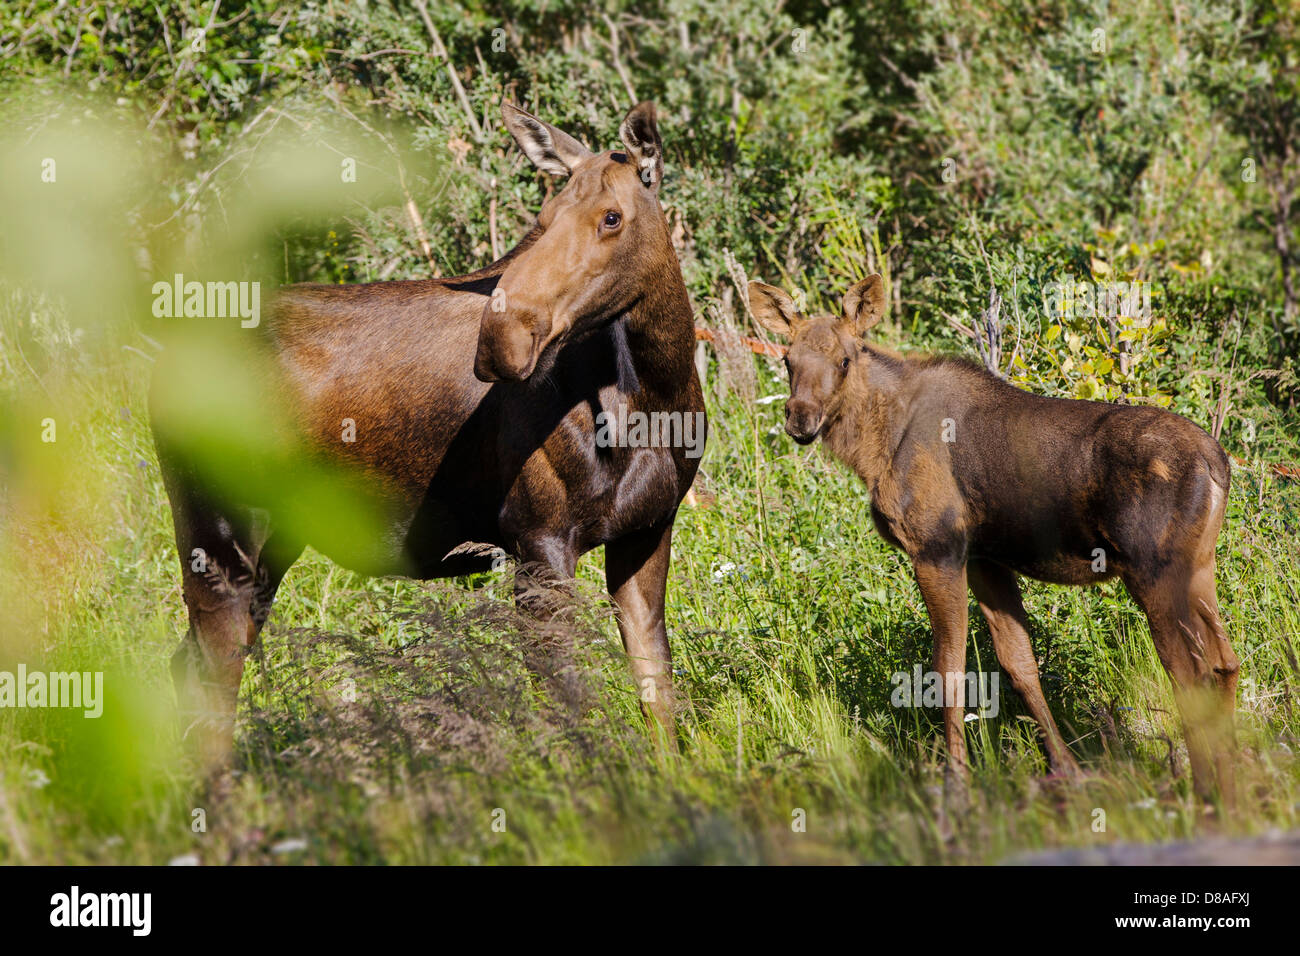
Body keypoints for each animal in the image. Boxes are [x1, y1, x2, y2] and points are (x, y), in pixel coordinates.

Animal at [153, 100, 707, 775]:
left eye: (612, 217)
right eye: (543, 218)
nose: (499, 342)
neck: (654, 396)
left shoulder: (646, 533)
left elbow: (658, 693)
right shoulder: (539, 541)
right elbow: (571, 713)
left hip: (271, 542)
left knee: (186, 667)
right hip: (219, 534)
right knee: (212, 679)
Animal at [748, 274, 1232, 801]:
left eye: (844, 359)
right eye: (787, 359)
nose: (801, 419)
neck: (873, 450)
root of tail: (1217, 464)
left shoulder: (937, 547)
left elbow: (949, 670)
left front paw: (956, 781)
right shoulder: (985, 558)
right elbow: (1019, 664)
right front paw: (1065, 769)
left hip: (1152, 570)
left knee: (1191, 672)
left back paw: (1205, 788)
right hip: (1199, 565)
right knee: (1225, 661)